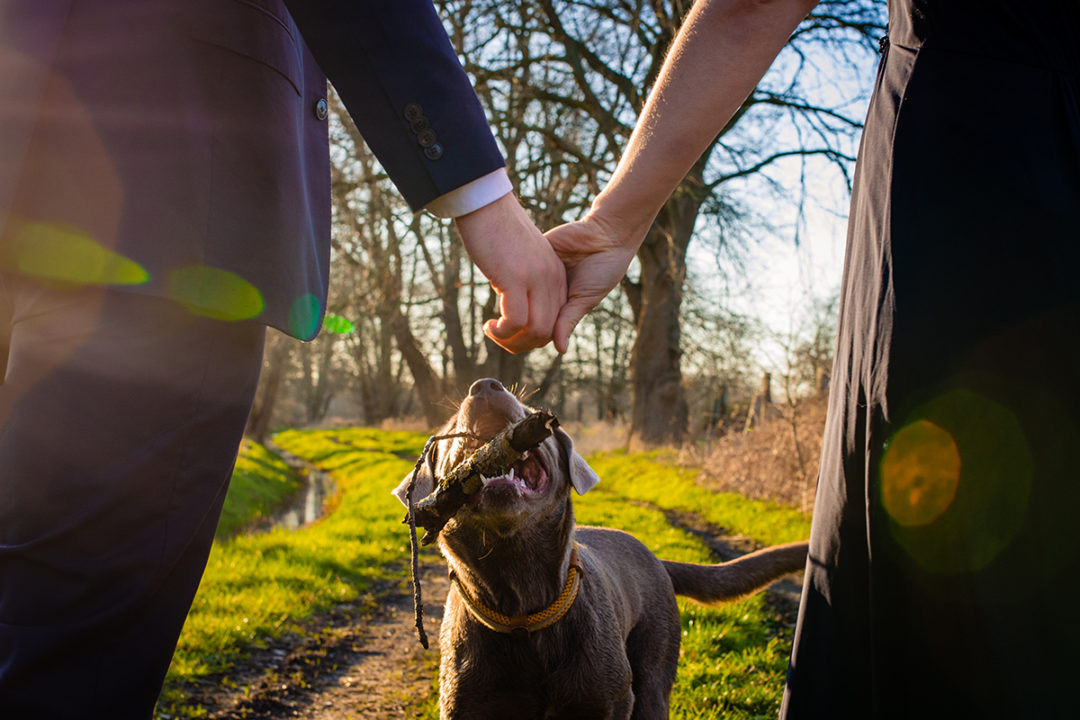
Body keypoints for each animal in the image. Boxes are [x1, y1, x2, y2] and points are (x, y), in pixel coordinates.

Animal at [393, 379, 807, 716]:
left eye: (527, 408)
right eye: (450, 431)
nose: (483, 386)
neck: (522, 608)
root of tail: (656, 557)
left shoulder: (606, 701)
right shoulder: (468, 703)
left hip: (652, 675)